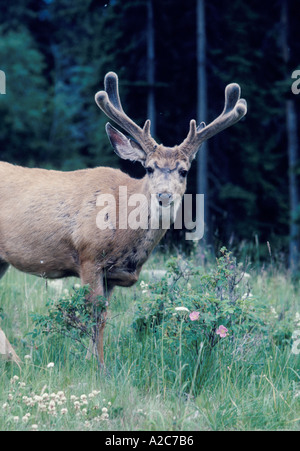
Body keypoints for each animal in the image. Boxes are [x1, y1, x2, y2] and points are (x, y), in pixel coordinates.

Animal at [0, 70, 246, 368]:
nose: (164, 195)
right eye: (149, 168)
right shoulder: (89, 257)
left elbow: (103, 319)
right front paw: (99, 367)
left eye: (184, 171)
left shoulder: (112, 276)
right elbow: (96, 317)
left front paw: (92, 361)